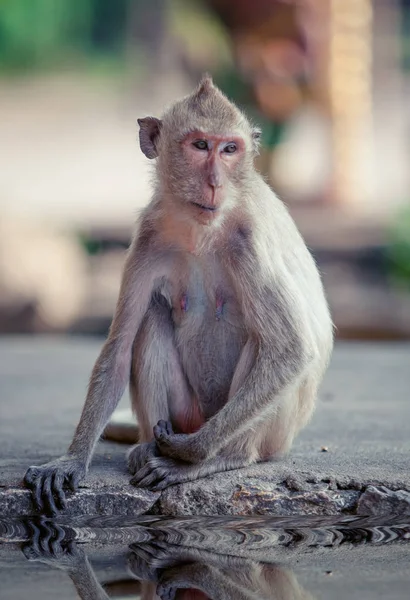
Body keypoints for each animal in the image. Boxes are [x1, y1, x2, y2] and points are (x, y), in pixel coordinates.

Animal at [24, 76, 334, 516]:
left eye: (230, 149)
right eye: (200, 145)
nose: (215, 182)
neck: (197, 228)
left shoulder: (249, 241)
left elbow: (291, 348)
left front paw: (193, 452)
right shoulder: (148, 238)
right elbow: (119, 348)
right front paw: (70, 460)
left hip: (268, 432)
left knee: (266, 344)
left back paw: (216, 457)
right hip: (186, 411)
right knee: (153, 315)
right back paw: (148, 448)